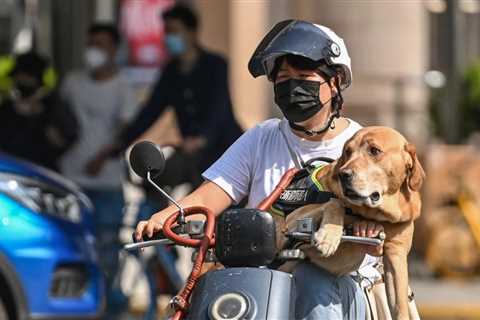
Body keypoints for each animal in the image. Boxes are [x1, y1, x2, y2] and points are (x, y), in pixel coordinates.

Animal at [276, 126, 426, 318]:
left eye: (374, 150)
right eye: (347, 152)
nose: (343, 174)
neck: (376, 214)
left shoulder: (396, 256)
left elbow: (400, 307)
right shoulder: (292, 220)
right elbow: (336, 202)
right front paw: (328, 236)